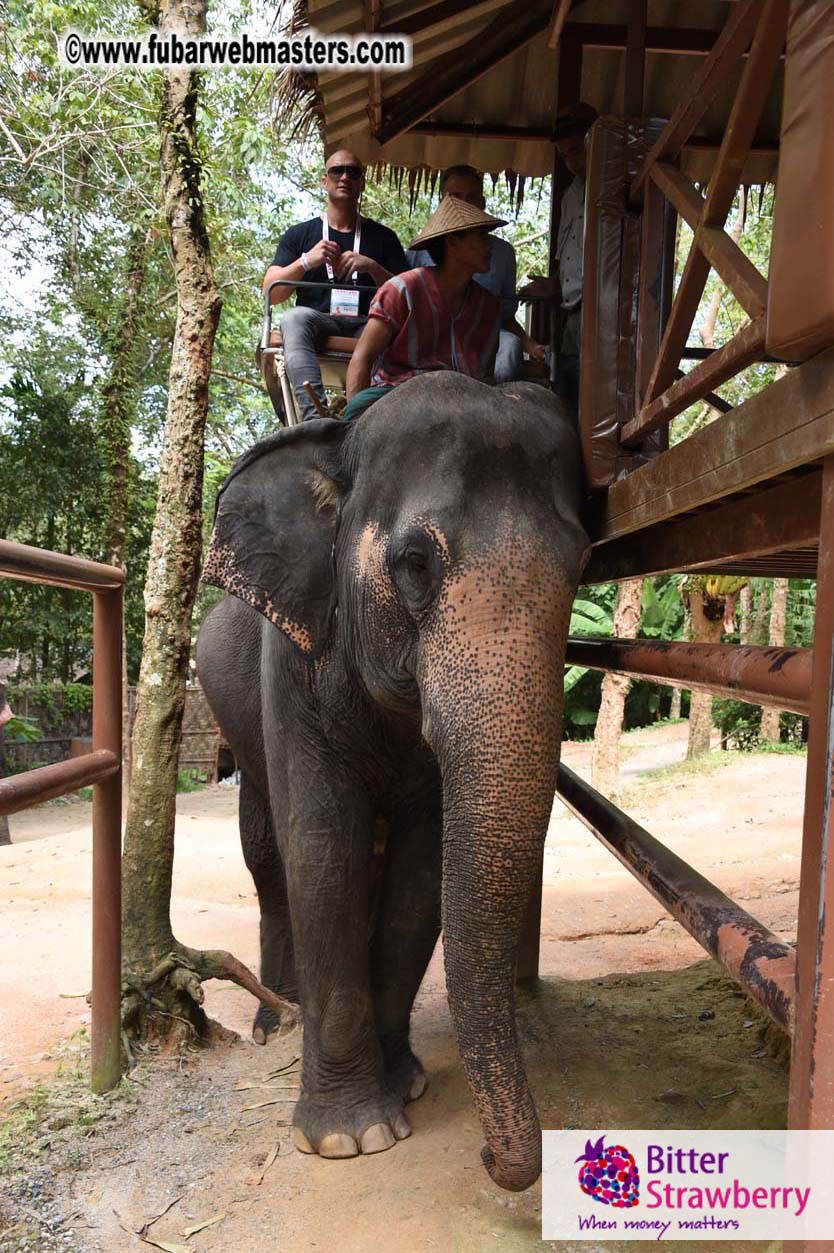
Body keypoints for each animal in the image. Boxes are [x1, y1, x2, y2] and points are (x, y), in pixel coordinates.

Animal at [195, 372, 588, 1192]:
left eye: (582, 565)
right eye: (414, 563)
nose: (491, 1159)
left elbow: (419, 871)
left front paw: (404, 1083)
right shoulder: (293, 668)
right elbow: (324, 853)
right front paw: (350, 1136)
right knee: (268, 856)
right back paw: (279, 1019)